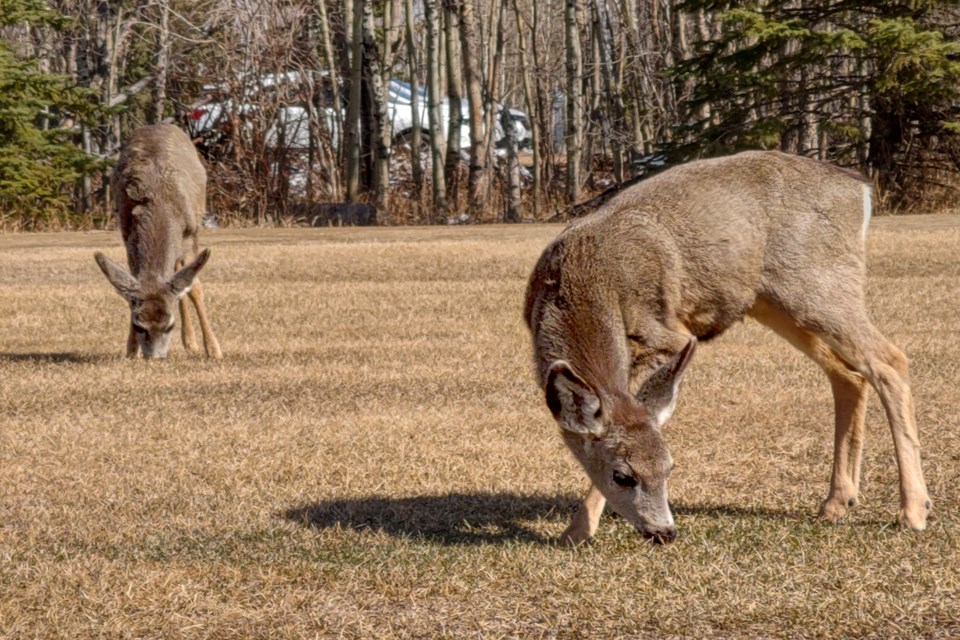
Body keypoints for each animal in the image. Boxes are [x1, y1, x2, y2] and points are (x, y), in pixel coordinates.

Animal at [98, 125, 225, 360]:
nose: (154, 357)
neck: (159, 206)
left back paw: (192, 343)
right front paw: (131, 349)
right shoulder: (128, 236)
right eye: (138, 326)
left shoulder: (190, 233)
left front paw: (213, 349)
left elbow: (195, 288)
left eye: (169, 326)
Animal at [524, 151, 928, 544]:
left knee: (889, 360)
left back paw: (914, 510)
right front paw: (577, 530)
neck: (580, 285)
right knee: (848, 375)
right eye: (623, 476)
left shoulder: (667, 334)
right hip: (774, 302)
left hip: (822, 285)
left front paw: (577, 531)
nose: (665, 533)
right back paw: (837, 502)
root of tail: (860, 188)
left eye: (670, 467)